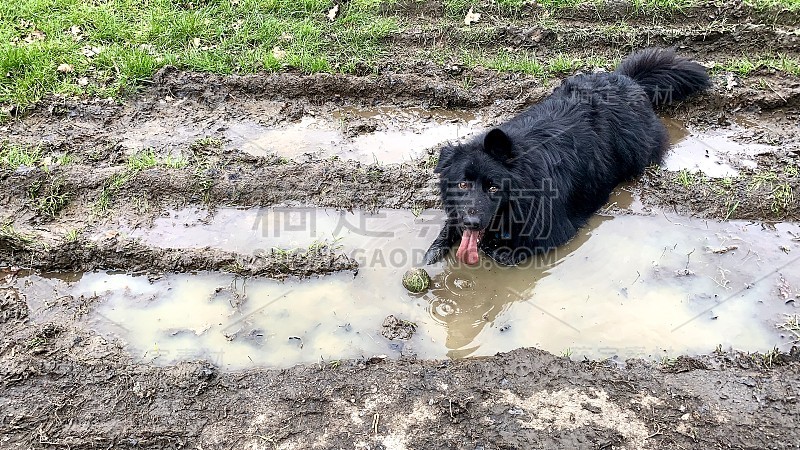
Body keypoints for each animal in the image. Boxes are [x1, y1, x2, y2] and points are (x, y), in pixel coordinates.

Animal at [422, 48, 708, 268]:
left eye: (493, 188)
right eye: (462, 184)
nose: (471, 223)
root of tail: (629, 80)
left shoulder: (551, 226)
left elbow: (511, 252)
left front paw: (493, 248)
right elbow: (449, 226)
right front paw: (433, 252)